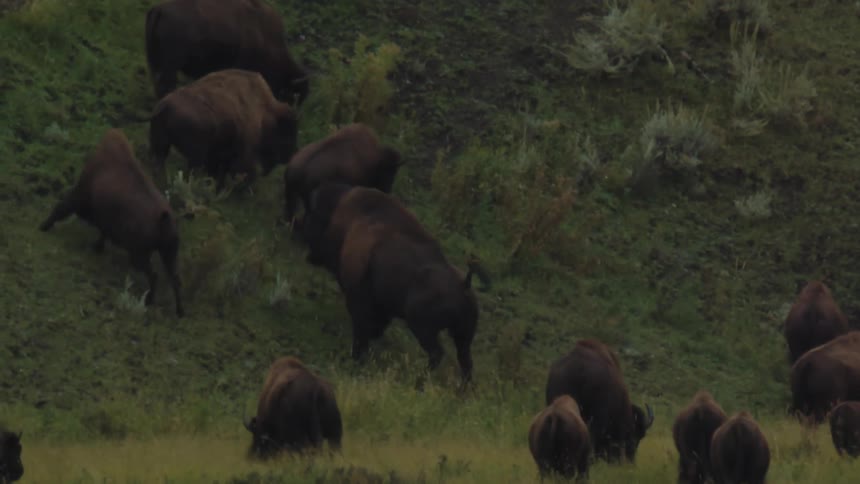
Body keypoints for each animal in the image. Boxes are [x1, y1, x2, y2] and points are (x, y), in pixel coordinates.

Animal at [39, 129, 184, 317]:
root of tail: (164, 218)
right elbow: (102, 232)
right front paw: (97, 247)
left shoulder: (78, 195)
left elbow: (61, 208)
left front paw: (43, 226)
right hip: (168, 253)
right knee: (175, 279)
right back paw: (179, 311)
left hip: (139, 255)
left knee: (154, 275)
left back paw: (148, 300)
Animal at [149, 68, 299, 190]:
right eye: (287, 131)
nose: (289, 156)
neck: (265, 110)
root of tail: (165, 106)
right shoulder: (244, 150)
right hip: (195, 155)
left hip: (161, 146)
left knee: (159, 164)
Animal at [300, 183, 490, 384]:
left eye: (312, 216)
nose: (309, 255)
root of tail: (464, 284)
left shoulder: (359, 298)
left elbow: (360, 328)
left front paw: (357, 356)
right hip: (462, 335)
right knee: (465, 360)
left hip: (422, 328)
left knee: (437, 353)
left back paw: (419, 381)